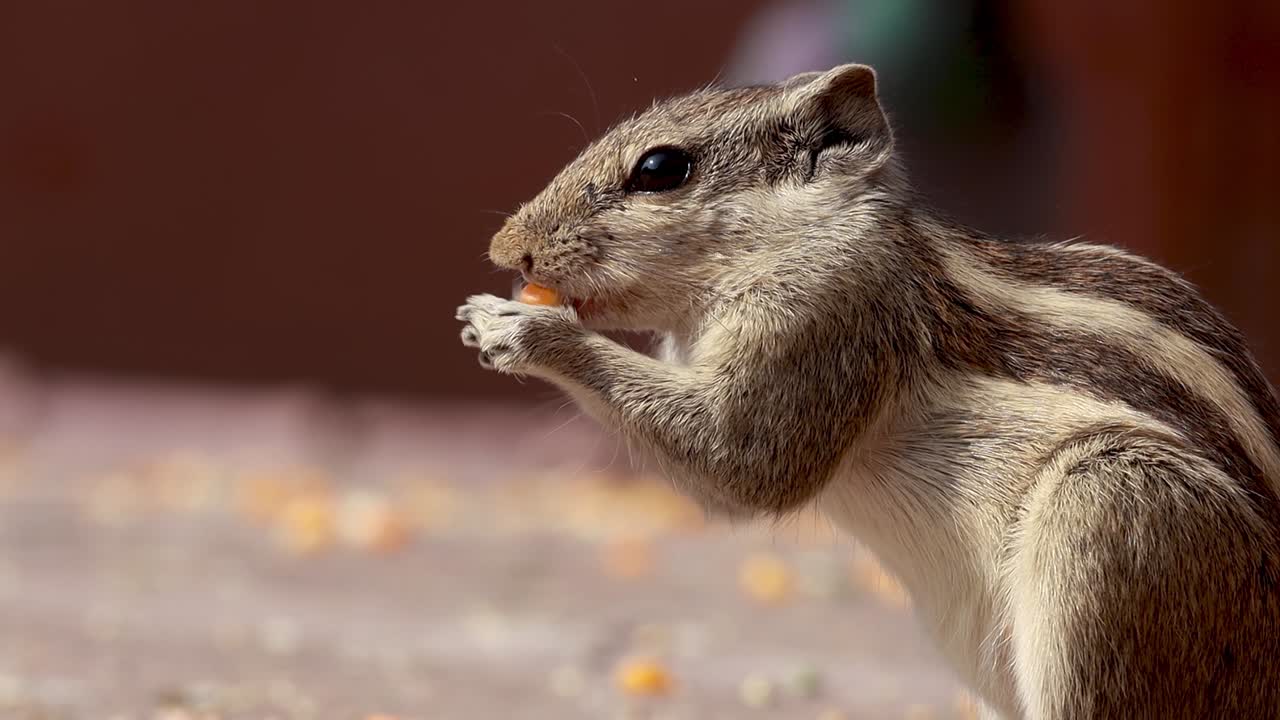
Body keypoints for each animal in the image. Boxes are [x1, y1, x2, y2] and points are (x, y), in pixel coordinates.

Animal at [456, 64, 1280, 718]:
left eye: (661, 168)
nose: (506, 249)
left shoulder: (821, 319)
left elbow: (743, 462)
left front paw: (520, 330)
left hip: (1112, 505)